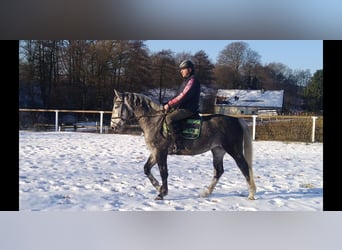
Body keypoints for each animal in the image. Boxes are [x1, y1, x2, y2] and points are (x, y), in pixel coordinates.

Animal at [111, 90, 255, 201]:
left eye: (116, 106)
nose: (113, 126)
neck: (154, 121)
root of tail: (236, 120)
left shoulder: (161, 152)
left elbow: (164, 172)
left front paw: (162, 193)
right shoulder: (155, 152)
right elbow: (146, 169)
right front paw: (158, 187)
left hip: (234, 150)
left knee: (244, 167)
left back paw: (251, 194)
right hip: (218, 150)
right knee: (219, 171)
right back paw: (206, 193)